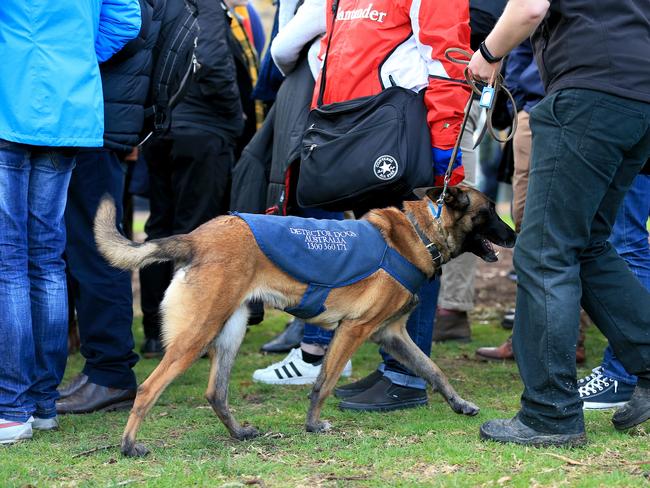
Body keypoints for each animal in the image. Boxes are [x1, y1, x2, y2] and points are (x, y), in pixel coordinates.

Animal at [93, 186, 512, 458]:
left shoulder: (391, 334)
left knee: (215, 392)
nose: (514, 232)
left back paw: (239, 433)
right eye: (490, 211)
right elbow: (323, 383)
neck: (420, 233)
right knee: (148, 388)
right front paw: (313, 425)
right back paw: (129, 446)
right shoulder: (354, 329)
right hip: (197, 334)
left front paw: (460, 404)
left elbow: (434, 370)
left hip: (229, 332)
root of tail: (195, 238)